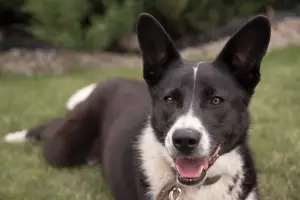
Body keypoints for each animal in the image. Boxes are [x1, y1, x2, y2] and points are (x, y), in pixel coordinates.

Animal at [4, 13, 272, 199]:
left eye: (216, 100)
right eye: (169, 99)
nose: (184, 140)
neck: (197, 186)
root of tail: (109, 81)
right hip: (62, 149)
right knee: (52, 130)